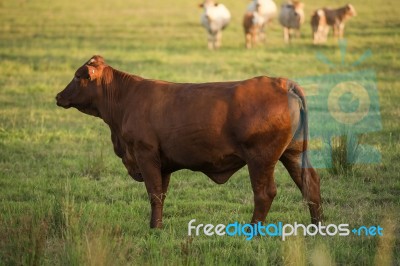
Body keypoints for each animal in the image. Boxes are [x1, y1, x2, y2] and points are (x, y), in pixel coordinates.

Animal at [55, 55, 322, 229]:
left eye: (77, 77)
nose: (58, 96)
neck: (125, 101)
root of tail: (283, 82)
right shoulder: (162, 163)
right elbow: (161, 194)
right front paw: (157, 225)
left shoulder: (145, 154)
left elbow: (154, 193)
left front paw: (154, 229)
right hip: (293, 153)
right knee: (310, 184)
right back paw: (317, 227)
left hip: (261, 158)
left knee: (265, 193)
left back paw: (253, 231)